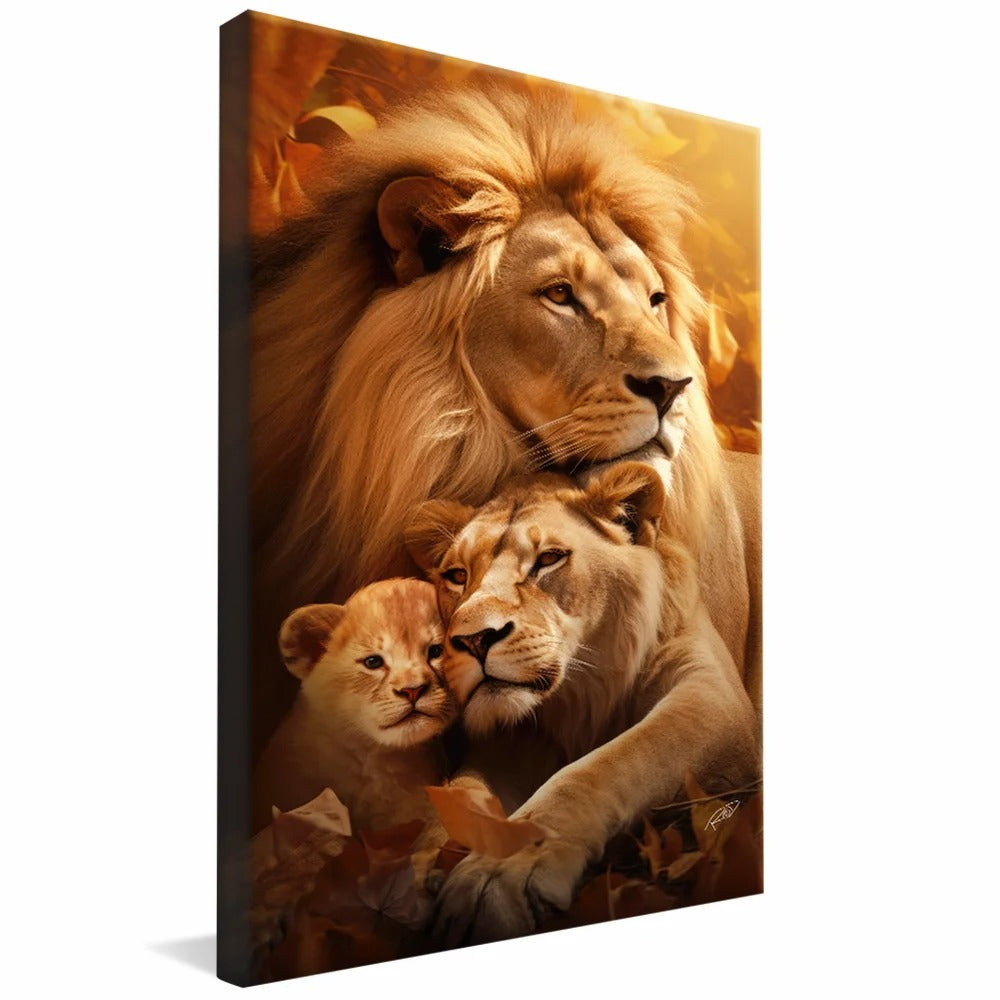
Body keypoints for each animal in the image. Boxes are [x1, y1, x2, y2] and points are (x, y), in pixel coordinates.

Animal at [404, 463, 759, 942]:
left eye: (549, 559)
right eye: (457, 575)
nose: (474, 640)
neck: (582, 694)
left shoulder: (712, 695)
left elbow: (606, 766)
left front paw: (500, 873)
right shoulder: (515, 740)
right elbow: (460, 790)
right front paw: (422, 863)